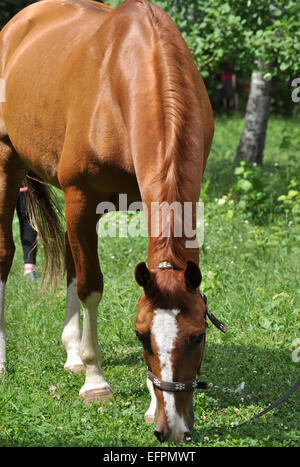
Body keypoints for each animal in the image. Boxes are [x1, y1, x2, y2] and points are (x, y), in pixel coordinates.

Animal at [0, 0, 216, 444]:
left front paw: (149, 403)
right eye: (139, 335)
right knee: (5, 254)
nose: (172, 428)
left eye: (199, 335)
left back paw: (71, 352)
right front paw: (95, 381)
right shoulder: (81, 198)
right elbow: (90, 287)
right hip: (7, 163)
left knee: (69, 257)